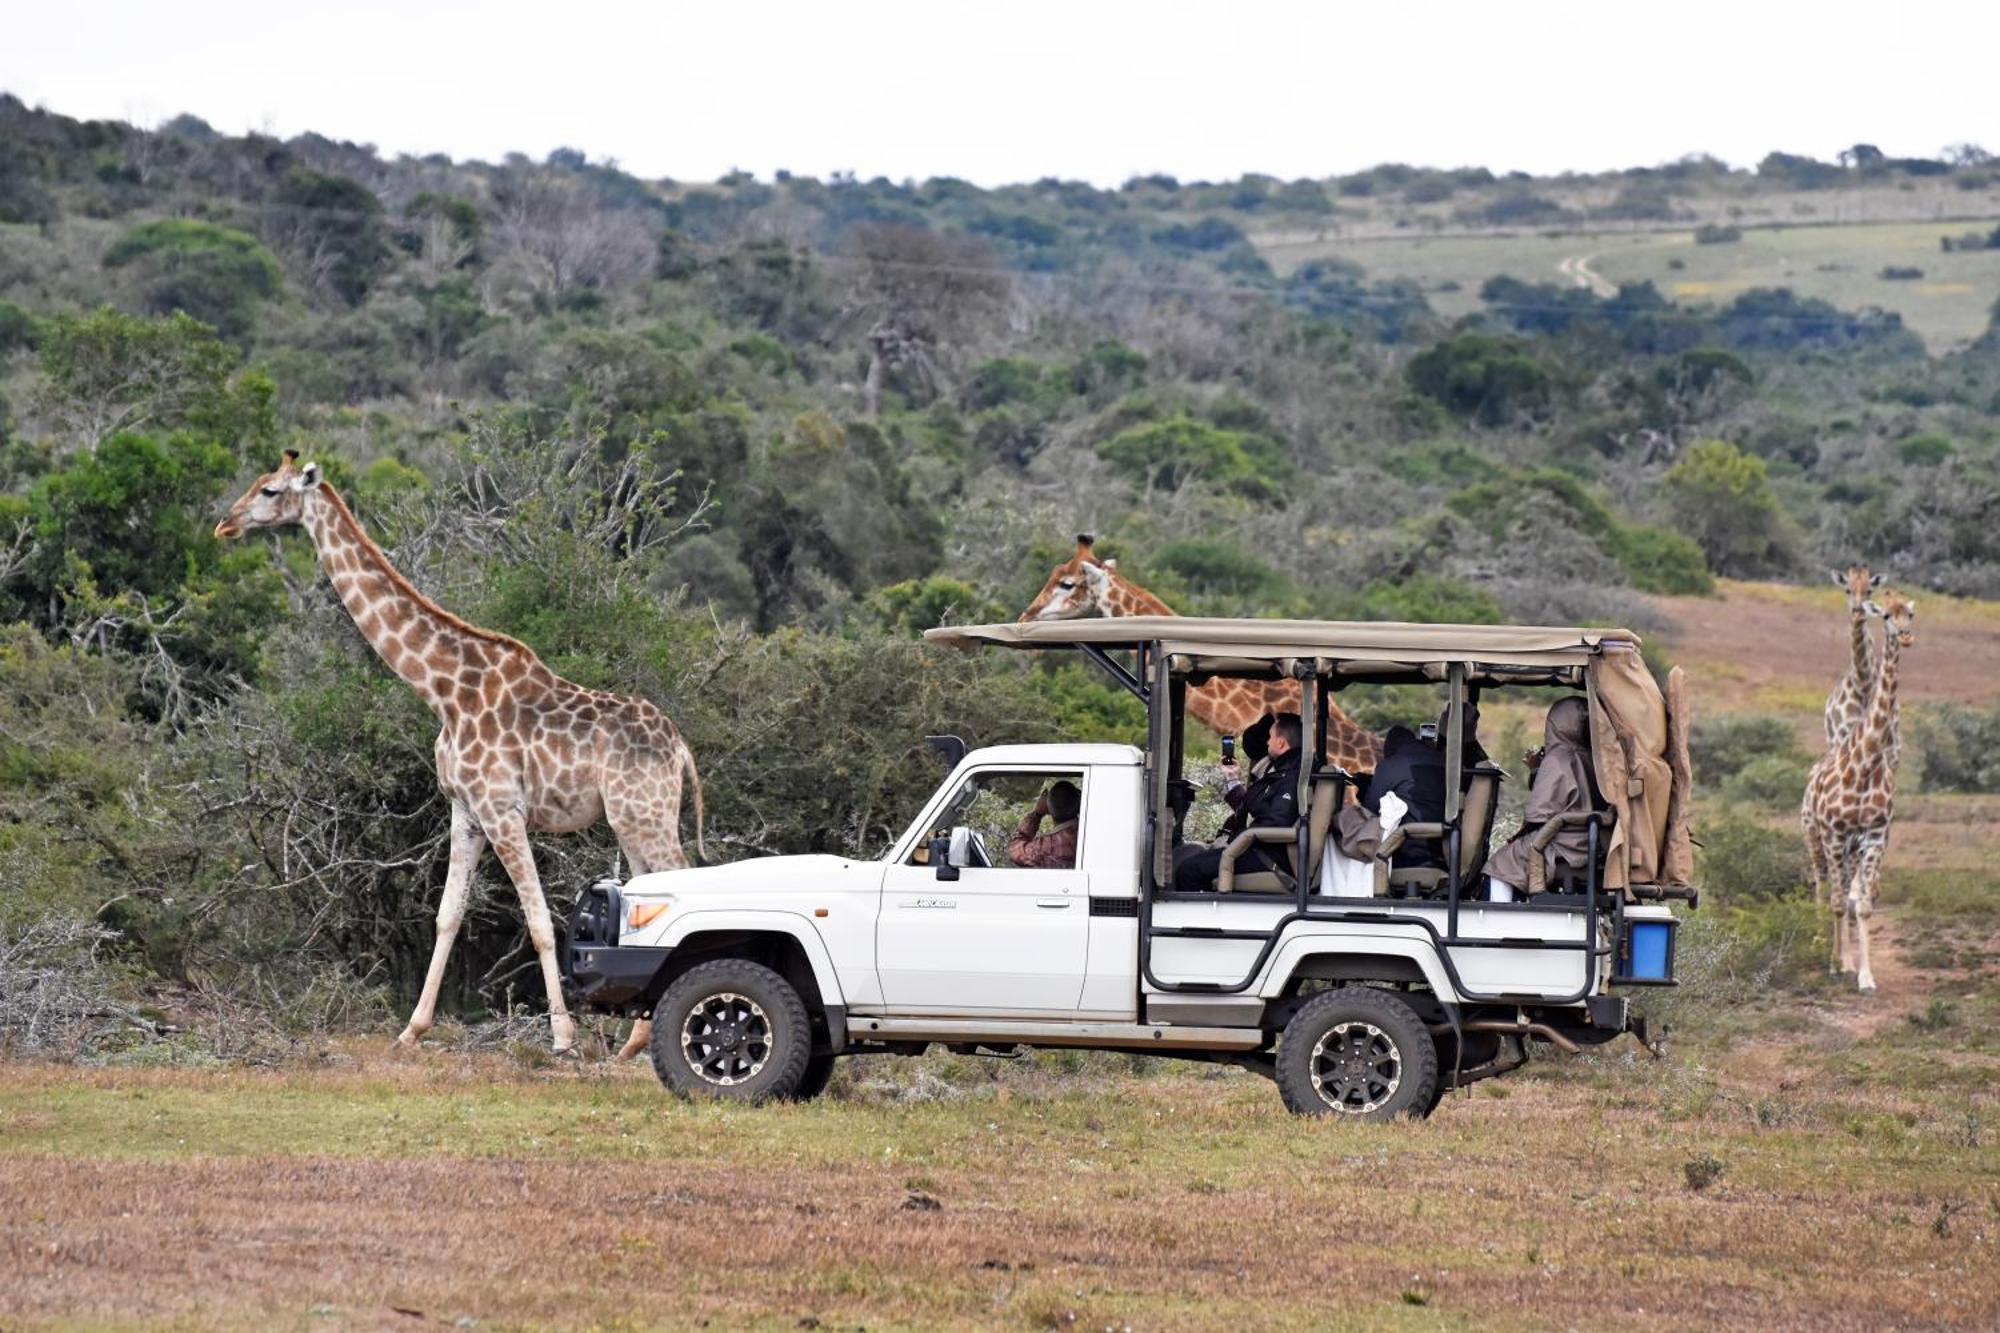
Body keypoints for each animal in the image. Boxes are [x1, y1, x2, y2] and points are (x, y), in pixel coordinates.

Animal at [217, 452, 704, 1056]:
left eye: (269, 490)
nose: (226, 524)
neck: (444, 690)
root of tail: (680, 747)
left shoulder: (502, 809)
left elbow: (538, 918)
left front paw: (563, 1037)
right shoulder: (465, 809)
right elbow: (448, 914)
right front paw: (412, 1029)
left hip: (644, 813)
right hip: (631, 818)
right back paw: (633, 1043)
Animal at [1808, 592, 1912, 984]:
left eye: (1910, 613)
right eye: (1885, 615)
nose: (1905, 635)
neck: (1866, 766)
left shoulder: (1875, 834)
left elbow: (1863, 905)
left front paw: (1864, 976)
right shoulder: (1835, 833)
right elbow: (1838, 901)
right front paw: (1835, 964)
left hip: (1850, 850)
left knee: (1843, 891)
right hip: (1816, 839)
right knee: (1823, 888)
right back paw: (1822, 946)